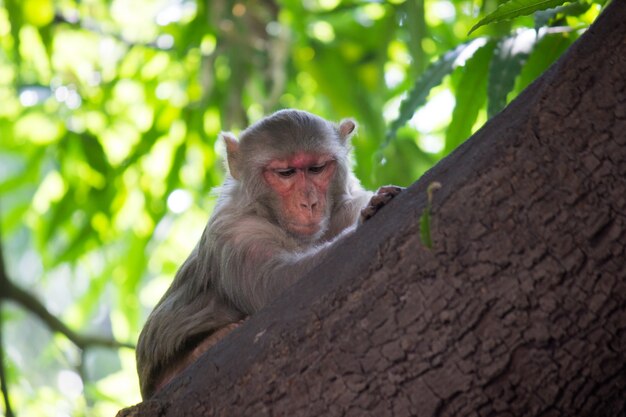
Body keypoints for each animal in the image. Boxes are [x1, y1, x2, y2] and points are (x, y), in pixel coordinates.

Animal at [135, 109, 400, 398]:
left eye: (316, 169)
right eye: (285, 173)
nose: (309, 202)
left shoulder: (347, 202)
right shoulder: (236, 232)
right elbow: (276, 285)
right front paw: (364, 220)